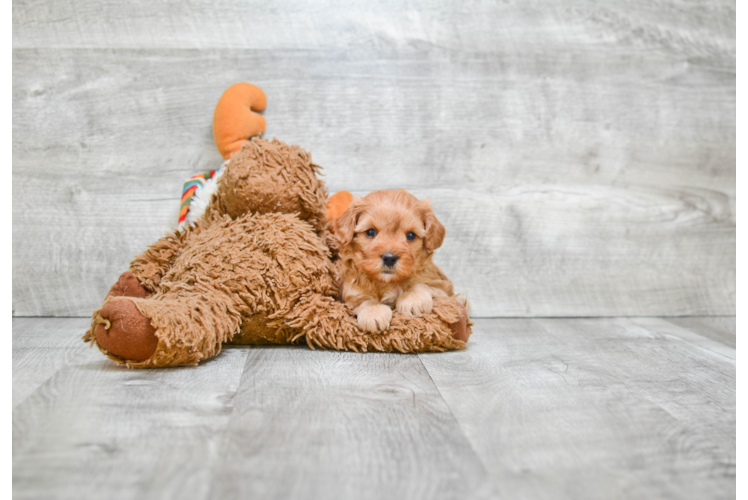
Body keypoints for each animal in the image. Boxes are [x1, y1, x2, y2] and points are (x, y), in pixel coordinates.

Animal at [334, 189, 452, 334]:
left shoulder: (443, 289)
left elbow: (421, 284)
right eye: (370, 232)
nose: (389, 258)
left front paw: (413, 299)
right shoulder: (350, 294)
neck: (388, 283)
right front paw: (373, 312)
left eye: (411, 235)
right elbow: (362, 300)